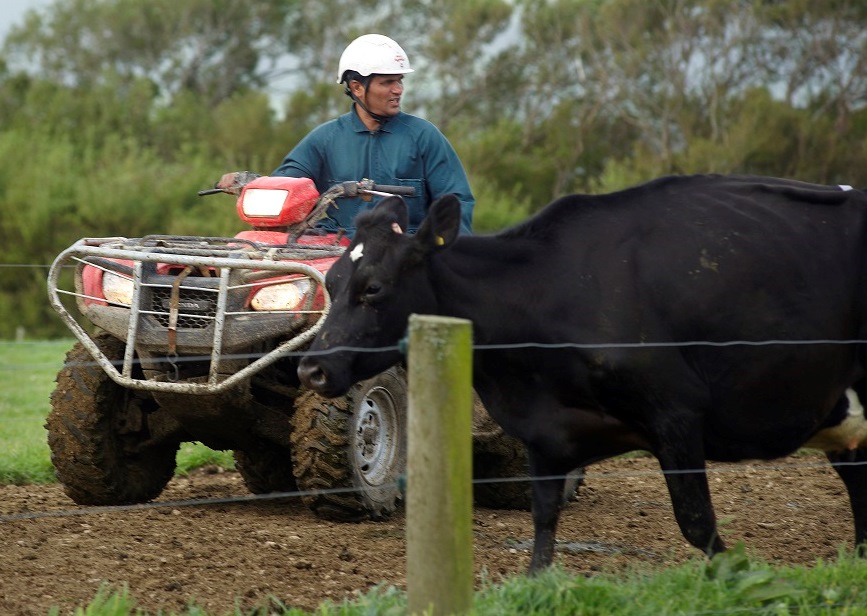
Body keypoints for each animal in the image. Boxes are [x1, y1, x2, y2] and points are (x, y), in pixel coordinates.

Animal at [296, 173, 867, 572]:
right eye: (334, 281)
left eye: (373, 287)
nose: (312, 368)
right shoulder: (545, 434)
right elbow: (543, 531)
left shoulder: (677, 415)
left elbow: (698, 524)